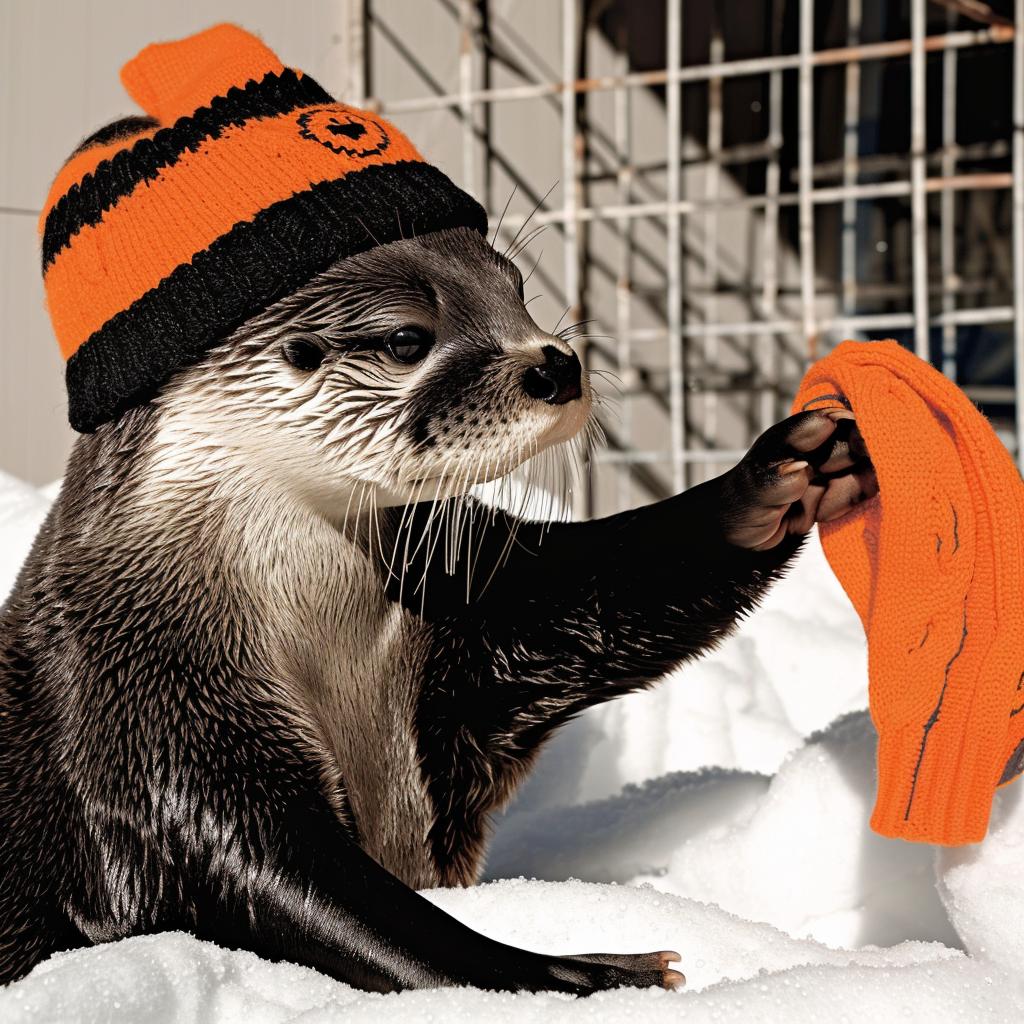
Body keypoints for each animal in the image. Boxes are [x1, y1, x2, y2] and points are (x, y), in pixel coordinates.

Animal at [0, 225, 875, 994]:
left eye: (514, 290)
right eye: (404, 339)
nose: (556, 364)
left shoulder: (461, 614)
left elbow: (596, 596)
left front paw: (774, 479)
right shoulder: (145, 712)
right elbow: (271, 875)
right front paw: (584, 972)